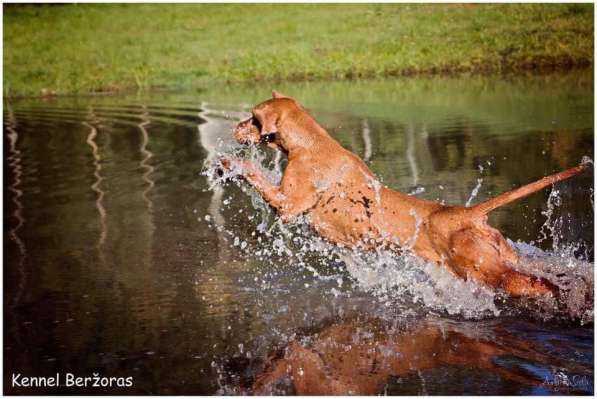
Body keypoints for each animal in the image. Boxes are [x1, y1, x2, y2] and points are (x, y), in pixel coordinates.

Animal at [222, 90, 588, 296]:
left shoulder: (286, 205)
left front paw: (230, 162)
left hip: (486, 272)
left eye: (251, 118)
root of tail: (468, 214)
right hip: (507, 258)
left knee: (537, 286)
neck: (310, 141)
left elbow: (255, 173)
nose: (232, 129)